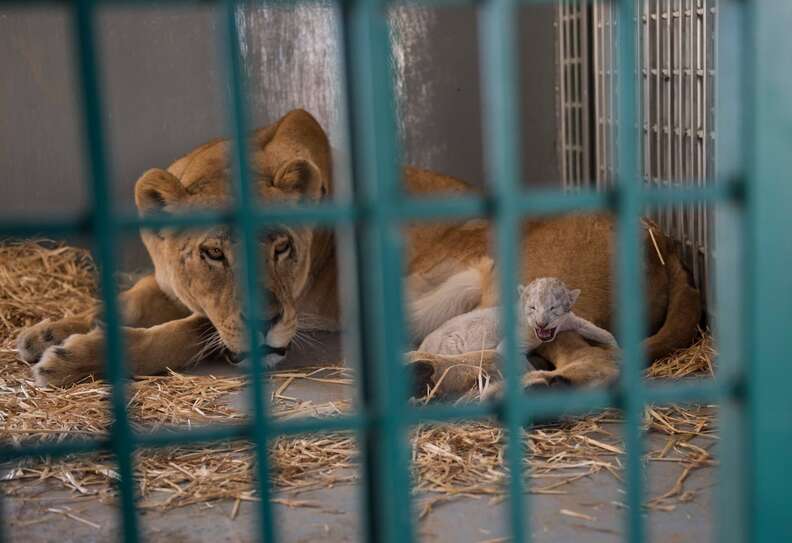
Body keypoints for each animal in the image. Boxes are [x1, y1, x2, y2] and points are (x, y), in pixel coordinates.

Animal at [16, 109, 701, 394]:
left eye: (283, 248)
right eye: (211, 254)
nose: (266, 321)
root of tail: (664, 236)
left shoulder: (307, 328)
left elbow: (185, 333)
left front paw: (71, 358)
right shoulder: (166, 282)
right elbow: (131, 301)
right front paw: (47, 330)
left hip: (536, 290)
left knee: (593, 362)